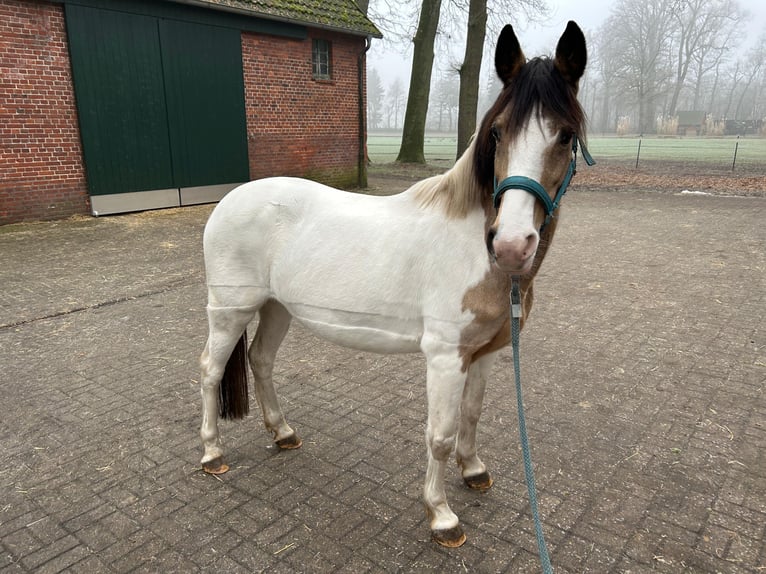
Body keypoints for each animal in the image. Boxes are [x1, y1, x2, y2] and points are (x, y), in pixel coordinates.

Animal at [201, 21, 592, 548]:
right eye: (497, 132)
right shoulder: (445, 357)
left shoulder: (486, 352)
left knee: (260, 361)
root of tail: (232, 198)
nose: (511, 244)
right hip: (231, 310)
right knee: (210, 370)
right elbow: (440, 435)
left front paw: (474, 471)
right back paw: (212, 454)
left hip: (278, 307)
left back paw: (283, 433)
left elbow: (471, 415)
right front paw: (442, 515)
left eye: (566, 136)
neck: (473, 246)